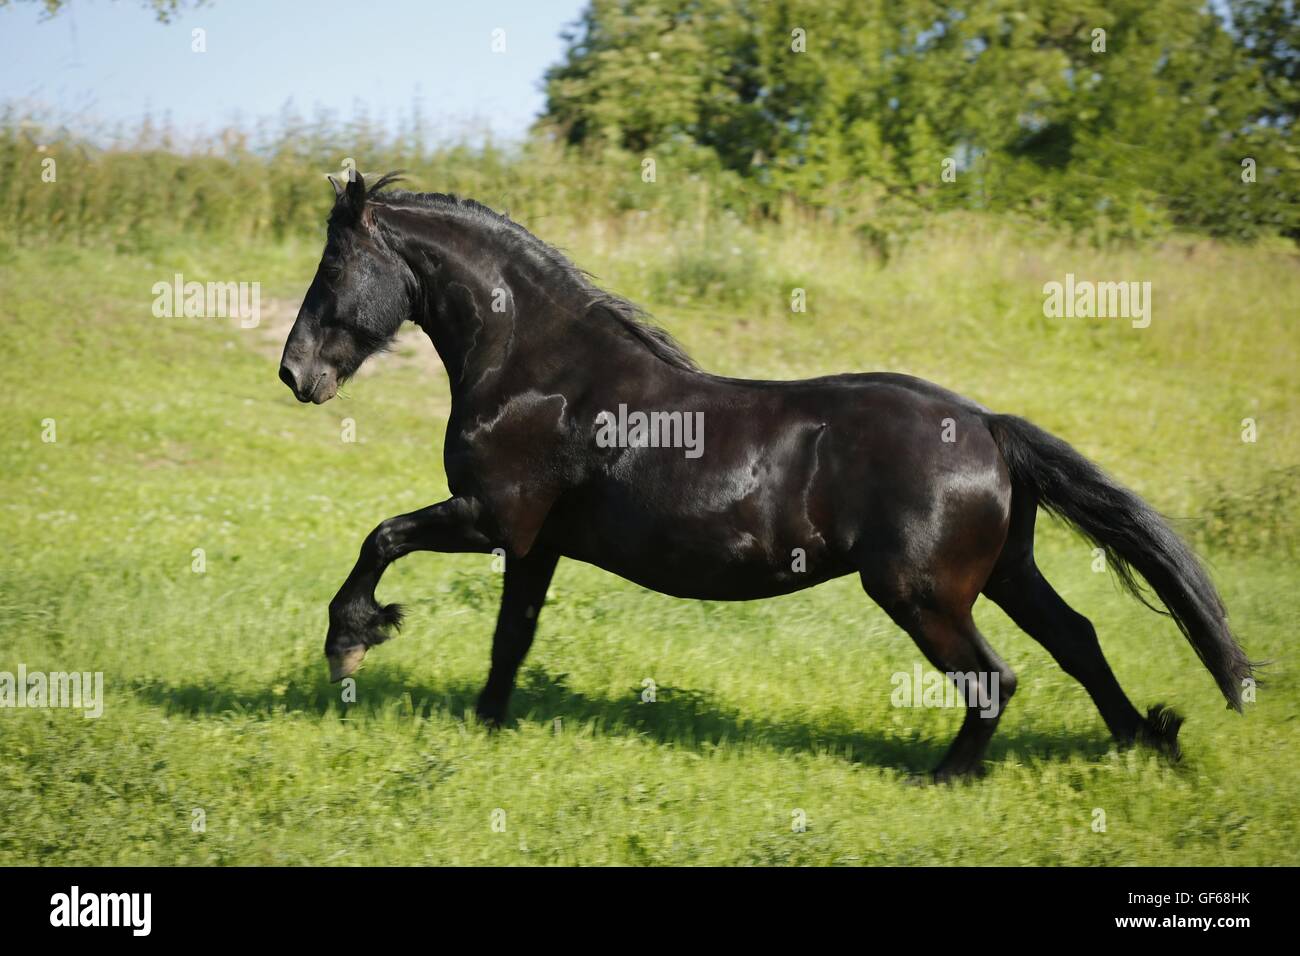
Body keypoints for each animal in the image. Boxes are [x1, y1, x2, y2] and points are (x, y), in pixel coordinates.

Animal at [278, 171, 1252, 780]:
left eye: (335, 267)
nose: (295, 374)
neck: (539, 373)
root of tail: (986, 425)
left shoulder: (488, 516)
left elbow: (380, 538)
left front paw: (352, 640)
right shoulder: (534, 544)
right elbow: (510, 638)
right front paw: (487, 724)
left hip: (922, 594)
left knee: (996, 678)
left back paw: (944, 777)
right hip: (1004, 574)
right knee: (1079, 641)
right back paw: (1145, 743)